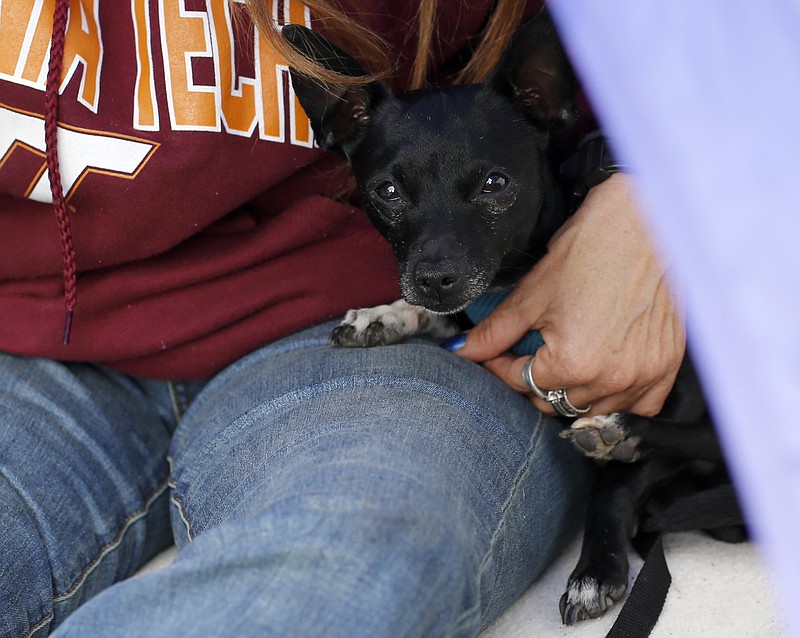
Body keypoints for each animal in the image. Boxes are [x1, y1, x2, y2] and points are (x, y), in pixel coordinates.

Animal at [282, 10, 744, 632]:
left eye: (494, 184)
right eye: (388, 192)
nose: (433, 277)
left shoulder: (676, 385)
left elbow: (616, 486)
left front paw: (596, 568)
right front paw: (389, 315)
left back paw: (621, 431)